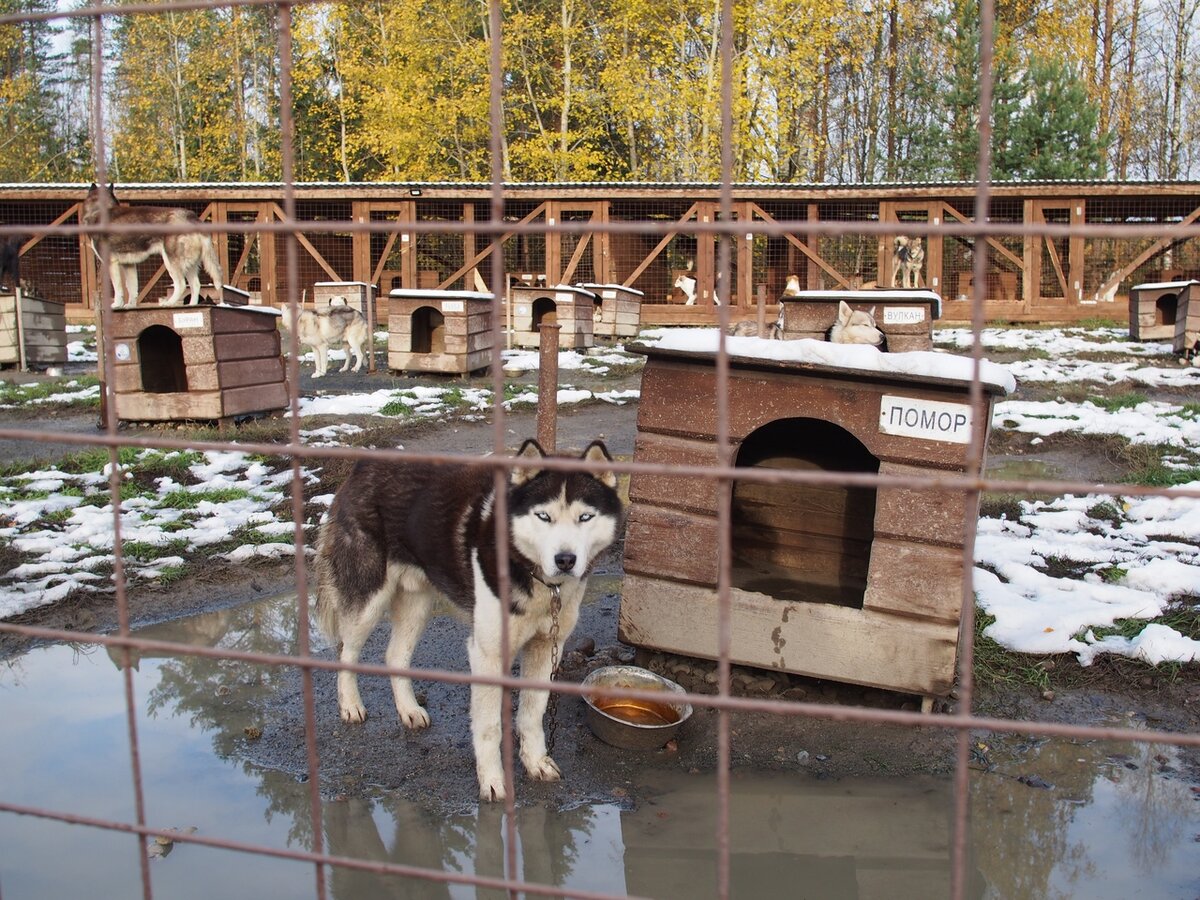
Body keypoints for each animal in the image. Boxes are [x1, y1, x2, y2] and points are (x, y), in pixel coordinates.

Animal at [81, 183, 224, 309]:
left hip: (170, 262)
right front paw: (130, 305)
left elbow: (118, 288)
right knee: (195, 285)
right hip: (189, 264)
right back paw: (192, 305)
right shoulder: (129, 265)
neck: (98, 210)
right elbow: (132, 288)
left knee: (181, 284)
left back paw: (169, 303)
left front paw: (117, 304)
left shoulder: (111, 263)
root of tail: (191, 216)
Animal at [314, 441, 624, 801]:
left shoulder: (547, 646)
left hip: (417, 604)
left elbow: (532, 715)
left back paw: (408, 710)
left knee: (394, 655)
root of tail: (365, 462)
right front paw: (492, 781)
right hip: (368, 600)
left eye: (585, 517)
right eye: (543, 516)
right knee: (345, 652)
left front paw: (535, 761)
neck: (533, 575)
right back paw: (350, 705)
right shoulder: (486, 654)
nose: (565, 560)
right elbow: (489, 727)